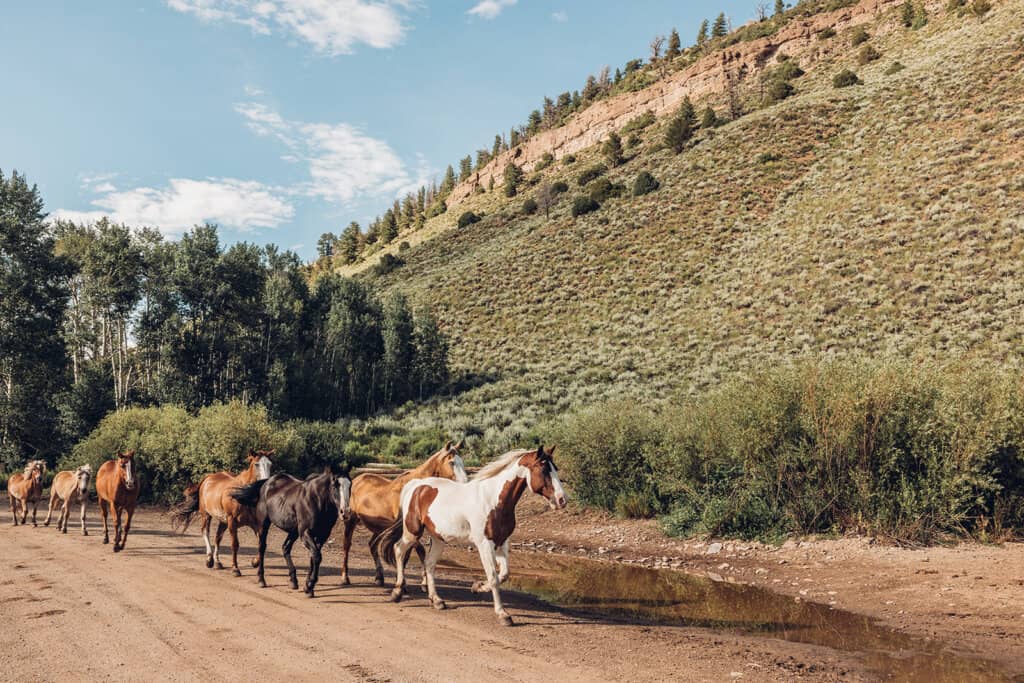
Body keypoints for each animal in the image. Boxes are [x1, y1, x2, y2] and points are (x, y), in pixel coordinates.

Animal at [230, 468, 351, 598]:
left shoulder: (322, 536)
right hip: (264, 524)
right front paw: (310, 585)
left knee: (285, 547)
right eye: (335, 485)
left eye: (350, 485)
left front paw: (308, 587)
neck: (316, 500)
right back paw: (261, 579)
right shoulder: (305, 533)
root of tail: (267, 482)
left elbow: (314, 557)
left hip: (293, 531)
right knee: (262, 548)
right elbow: (317, 556)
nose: (345, 512)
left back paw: (293, 580)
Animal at [340, 440, 467, 587]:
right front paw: (413, 581)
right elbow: (416, 551)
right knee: (347, 546)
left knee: (372, 545)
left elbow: (412, 554)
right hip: (350, 520)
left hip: (379, 528)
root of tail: (356, 480)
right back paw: (345, 577)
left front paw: (417, 580)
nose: (465, 483)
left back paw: (379, 577)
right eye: (452, 462)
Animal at [374, 445, 567, 626]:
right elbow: (494, 577)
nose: (562, 500)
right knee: (399, 550)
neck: (493, 500)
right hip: (412, 532)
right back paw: (397, 592)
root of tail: (415, 486)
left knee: (429, 563)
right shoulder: (485, 544)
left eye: (555, 468)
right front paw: (503, 614)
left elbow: (504, 574)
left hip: (438, 538)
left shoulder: (502, 542)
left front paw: (477, 587)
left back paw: (436, 600)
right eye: (544, 469)